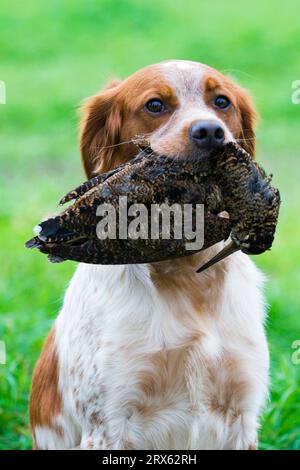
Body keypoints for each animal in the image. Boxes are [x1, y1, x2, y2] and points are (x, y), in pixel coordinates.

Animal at [29, 60, 270, 450]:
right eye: (155, 105)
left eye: (222, 101)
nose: (210, 132)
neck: (187, 275)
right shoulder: (107, 426)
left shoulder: (243, 416)